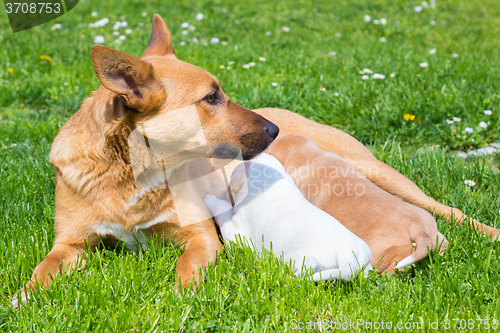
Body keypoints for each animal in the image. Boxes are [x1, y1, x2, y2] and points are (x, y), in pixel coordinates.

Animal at [203, 153, 372, 280]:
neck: (272, 186)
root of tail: (346, 254)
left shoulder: (236, 233)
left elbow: (223, 210)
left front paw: (209, 199)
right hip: (364, 257)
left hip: (298, 256)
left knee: (309, 265)